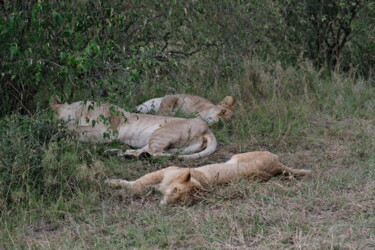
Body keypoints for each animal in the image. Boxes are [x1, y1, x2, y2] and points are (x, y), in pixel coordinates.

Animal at [50, 96, 217, 159]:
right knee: (152, 151)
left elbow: (73, 129)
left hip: (161, 132)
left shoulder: (106, 131)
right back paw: (117, 152)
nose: (47, 123)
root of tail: (208, 129)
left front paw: (57, 134)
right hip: (180, 147)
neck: (80, 110)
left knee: (155, 153)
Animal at [106, 151, 312, 204]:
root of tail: (278, 166)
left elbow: (138, 185)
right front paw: (112, 182)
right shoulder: (161, 172)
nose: (165, 204)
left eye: (181, 201)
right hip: (238, 156)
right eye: (176, 190)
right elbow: (138, 183)